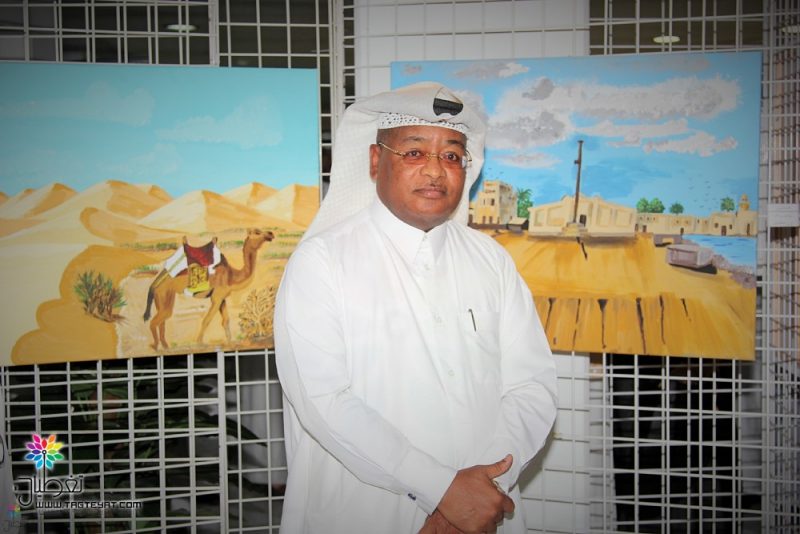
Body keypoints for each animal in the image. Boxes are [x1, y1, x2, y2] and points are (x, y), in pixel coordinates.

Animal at [142, 228, 275, 351]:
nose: (270, 234)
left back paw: (165, 346)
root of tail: (155, 282)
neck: (231, 276)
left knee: (163, 319)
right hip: (163, 293)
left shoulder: (222, 298)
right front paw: (199, 343)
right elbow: (206, 320)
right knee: (155, 321)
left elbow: (225, 320)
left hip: (165, 295)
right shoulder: (216, 297)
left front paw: (230, 342)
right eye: (257, 232)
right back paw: (155, 346)